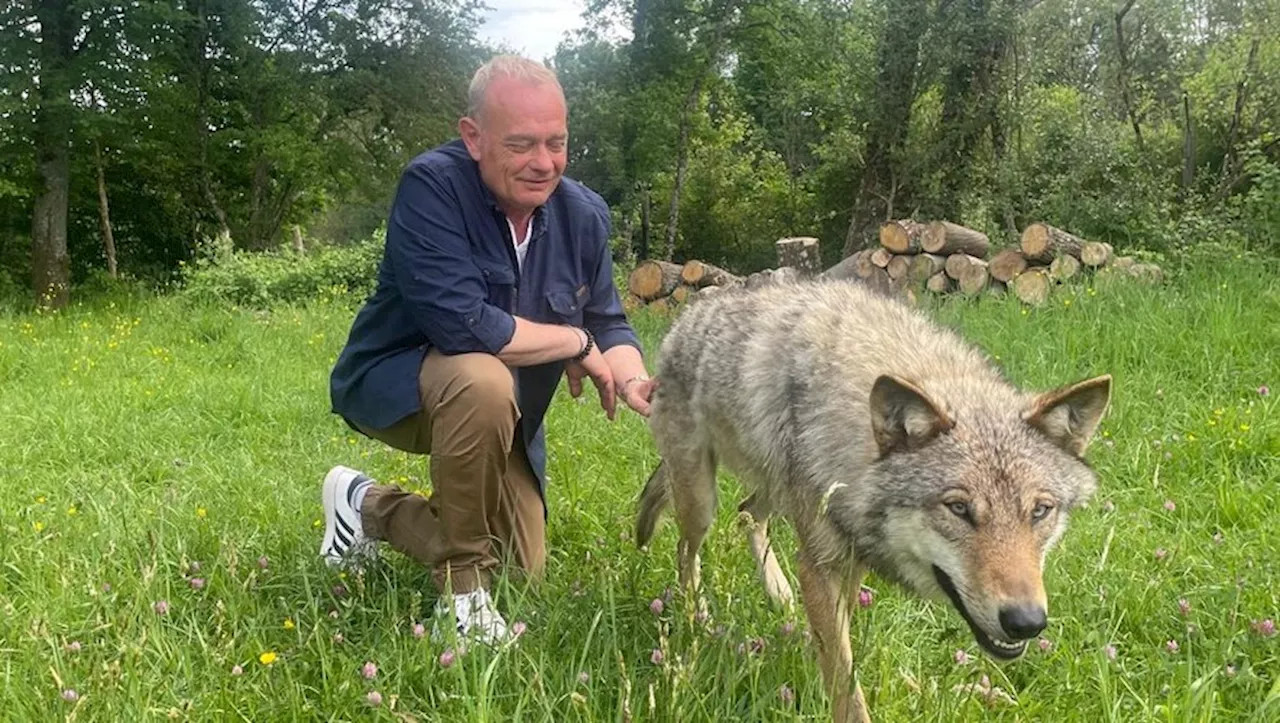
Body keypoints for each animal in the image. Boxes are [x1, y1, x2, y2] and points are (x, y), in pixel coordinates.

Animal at [637, 273, 1111, 716]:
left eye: (1041, 511)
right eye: (958, 509)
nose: (1026, 622)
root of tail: (685, 318)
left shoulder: (851, 556)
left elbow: (836, 650)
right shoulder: (821, 564)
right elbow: (847, 686)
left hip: (774, 489)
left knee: (747, 513)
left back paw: (780, 596)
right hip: (701, 502)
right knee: (687, 548)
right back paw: (698, 619)